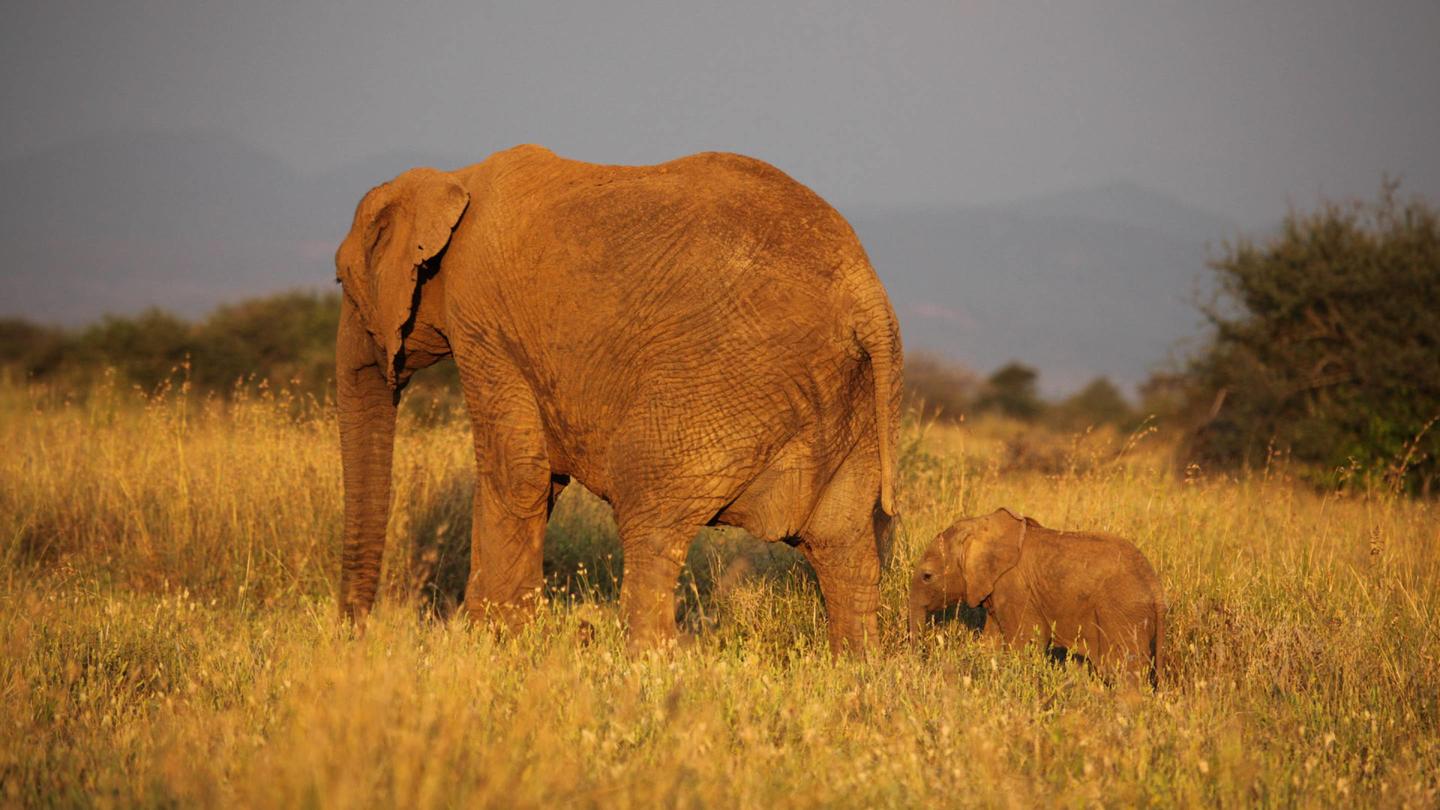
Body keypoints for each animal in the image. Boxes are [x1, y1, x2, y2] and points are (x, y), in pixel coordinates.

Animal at [333, 144, 902, 652]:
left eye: (340, 280)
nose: (355, 635)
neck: (453, 180)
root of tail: (867, 296)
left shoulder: (483, 322)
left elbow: (517, 471)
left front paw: (491, 644)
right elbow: (542, 477)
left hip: (720, 380)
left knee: (649, 516)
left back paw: (647, 663)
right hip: (849, 395)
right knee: (844, 545)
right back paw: (854, 666)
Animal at [908, 508, 1165, 686]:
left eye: (927, 576)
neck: (982, 526)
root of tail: (1156, 588)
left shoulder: (1015, 588)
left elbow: (1028, 641)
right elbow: (991, 642)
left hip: (1122, 612)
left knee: (1123, 671)